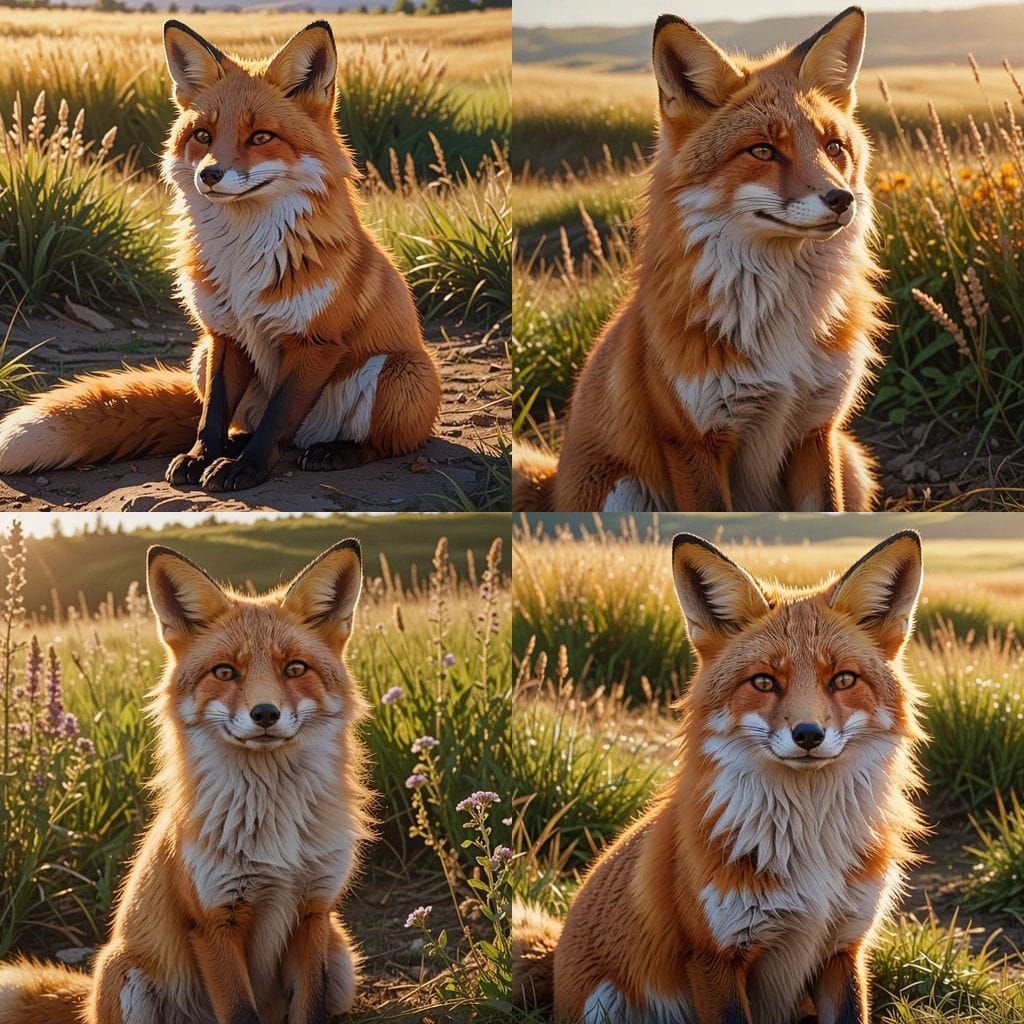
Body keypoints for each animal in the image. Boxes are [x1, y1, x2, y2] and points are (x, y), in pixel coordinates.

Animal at [0, 20, 441, 492]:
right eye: (203, 136)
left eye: (261, 136)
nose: (209, 174)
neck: (242, 258)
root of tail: (310, 434)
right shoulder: (223, 335)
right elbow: (212, 413)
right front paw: (202, 457)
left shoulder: (315, 343)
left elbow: (276, 420)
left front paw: (246, 468)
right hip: (198, 356)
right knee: (247, 424)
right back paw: (237, 443)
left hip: (400, 375)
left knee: (371, 442)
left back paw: (335, 452)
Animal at [0, 539, 370, 1024]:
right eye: (225, 672)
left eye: (294, 669)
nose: (265, 714)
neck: (275, 834)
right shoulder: (213, 919)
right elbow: (240, 1012)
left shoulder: (314, 911)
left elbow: (309, 1010)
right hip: (129, 979)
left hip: (341, 961)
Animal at [513, 7, 886, 513]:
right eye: (763, 150)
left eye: (834, 148)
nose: (841, 199)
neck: (782, 331)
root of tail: (553, 487)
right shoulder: (693, 442)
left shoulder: (816, 430)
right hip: (625, 491)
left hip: (853, 462)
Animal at [513, 530, 927, 1024]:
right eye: (764, 682)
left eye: (843, 679)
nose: (809, 734)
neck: (810, 849)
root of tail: (556, 955)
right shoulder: (714, 956)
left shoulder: (843, 946)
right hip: (605, 1004)